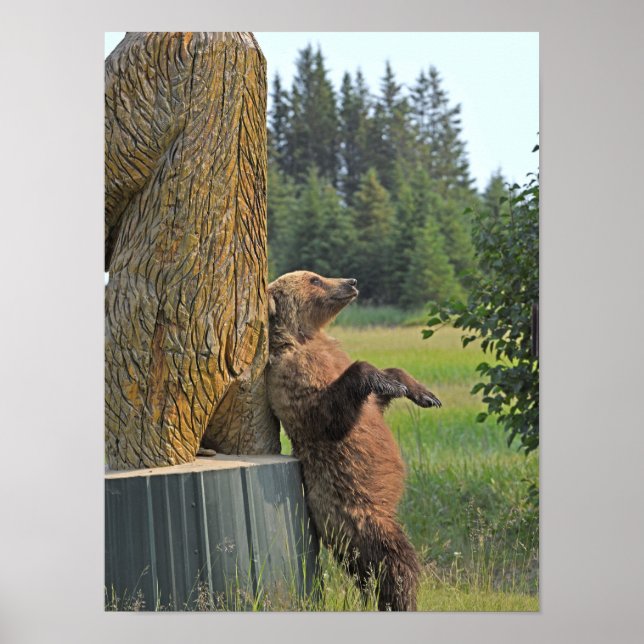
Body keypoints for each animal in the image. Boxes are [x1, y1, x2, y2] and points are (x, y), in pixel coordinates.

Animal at [265, 270, 442, 611]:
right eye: (315, 279)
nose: (351, 281)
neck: (305, 337)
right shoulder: (293, 381)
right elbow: (328, 414)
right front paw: (383, 379)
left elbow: (378, 396)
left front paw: (421, 392)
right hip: (357, 517)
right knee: (394, 560)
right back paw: (401, 599)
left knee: (366, 573)